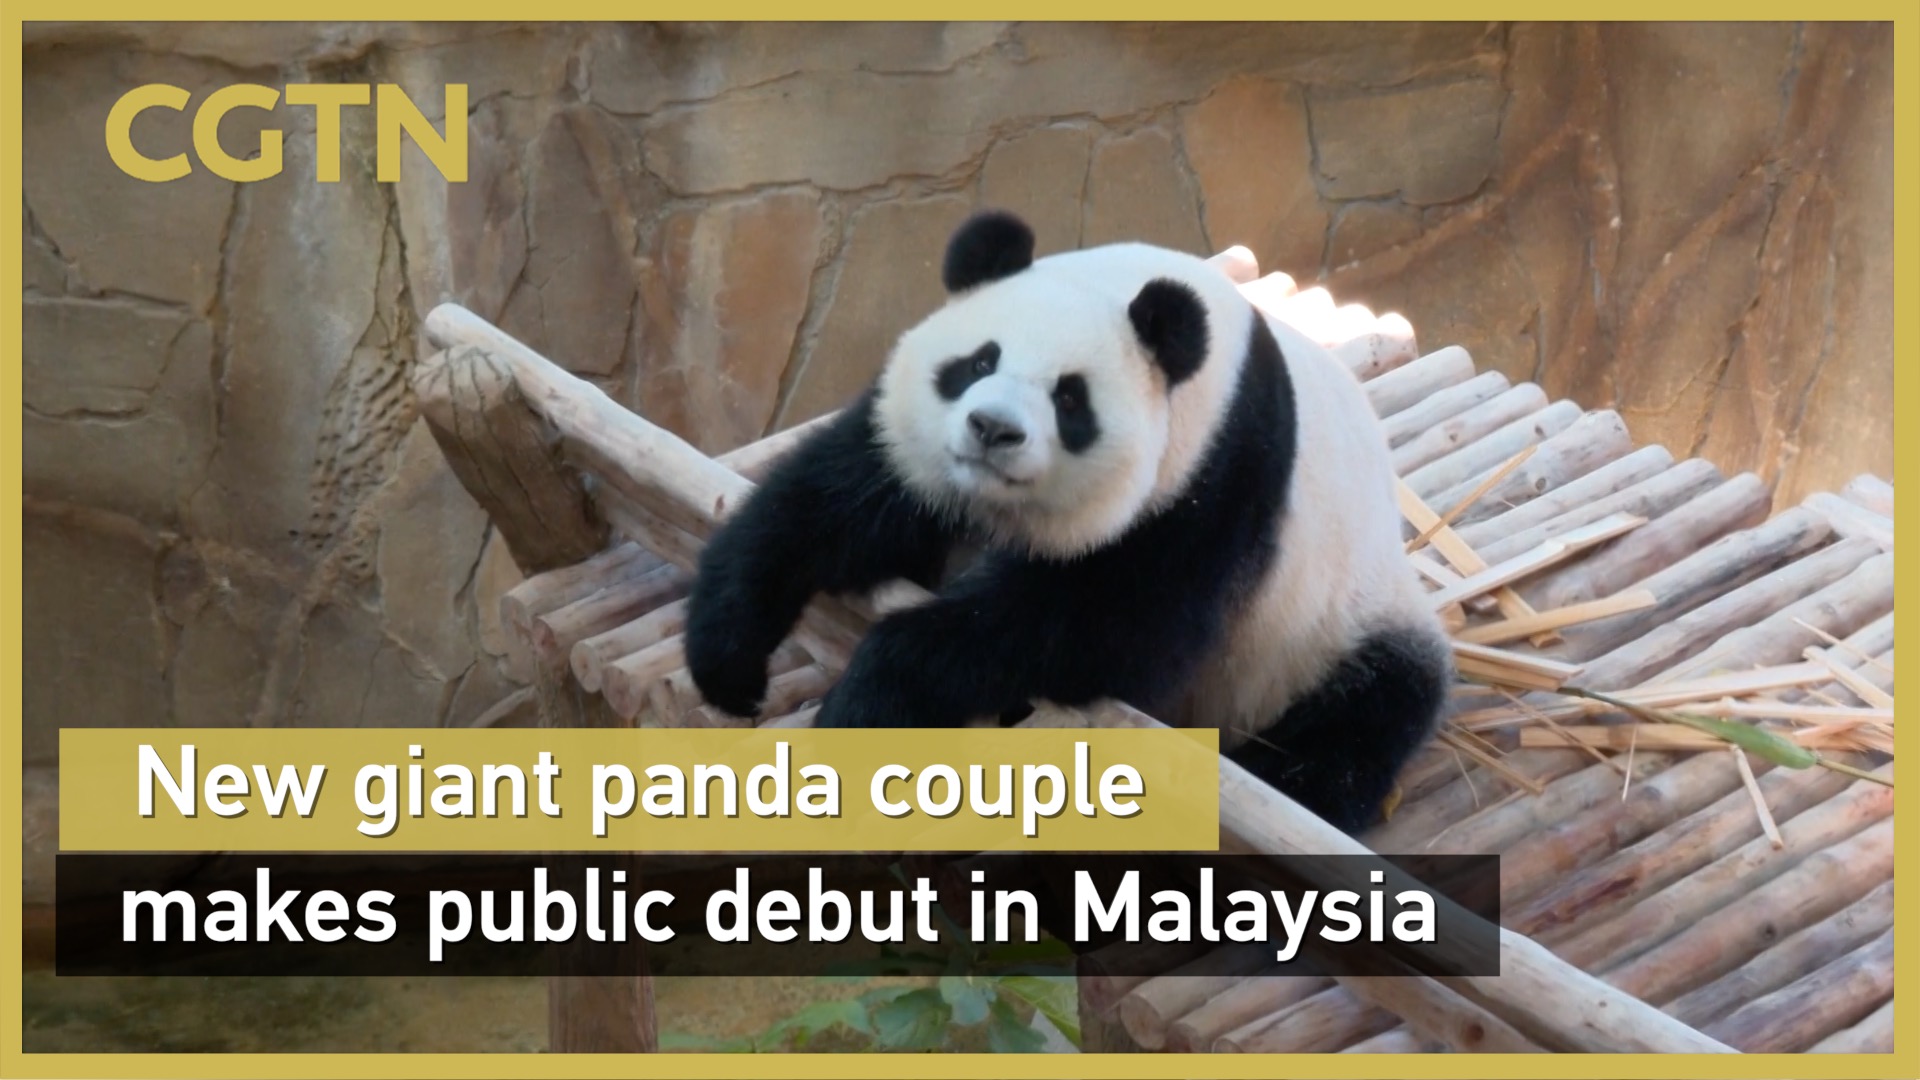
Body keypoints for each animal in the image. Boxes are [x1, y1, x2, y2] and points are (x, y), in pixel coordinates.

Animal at [683, 209, 1454, 835]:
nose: (992, 429)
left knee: (1356, 724)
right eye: (978, 362)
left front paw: (867, 709)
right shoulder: (907, 454)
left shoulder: (1220, 480)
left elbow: (1092, 630)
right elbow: (833, 498)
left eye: (1071, 398)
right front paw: (729, 658)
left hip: (1337, 628)